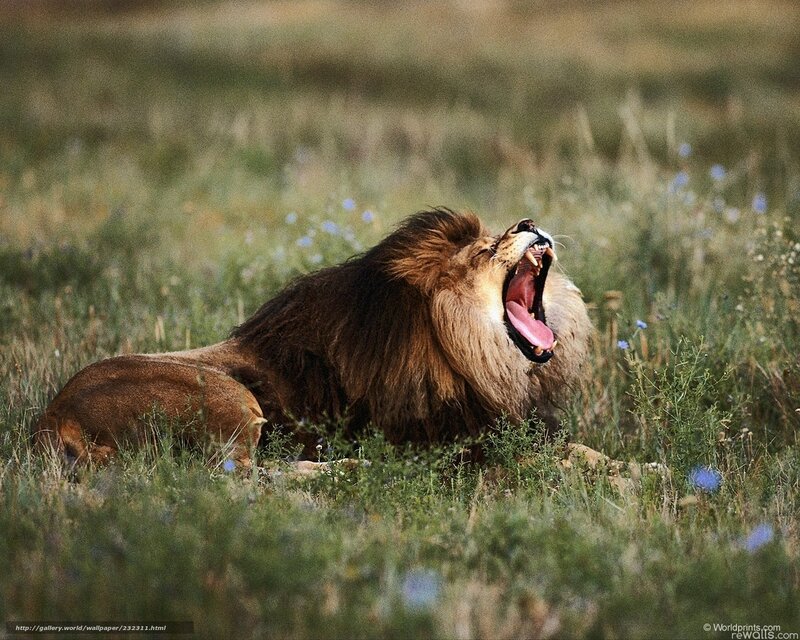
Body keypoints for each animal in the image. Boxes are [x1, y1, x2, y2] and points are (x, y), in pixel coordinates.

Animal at [34, 208, 593, 469]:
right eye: (484, 250)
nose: (529, 221)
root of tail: (52, 417)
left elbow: (580, 447)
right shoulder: (455, 442)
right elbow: (545, 458)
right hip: (228, 397)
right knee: (241, 476)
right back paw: (346, 467)